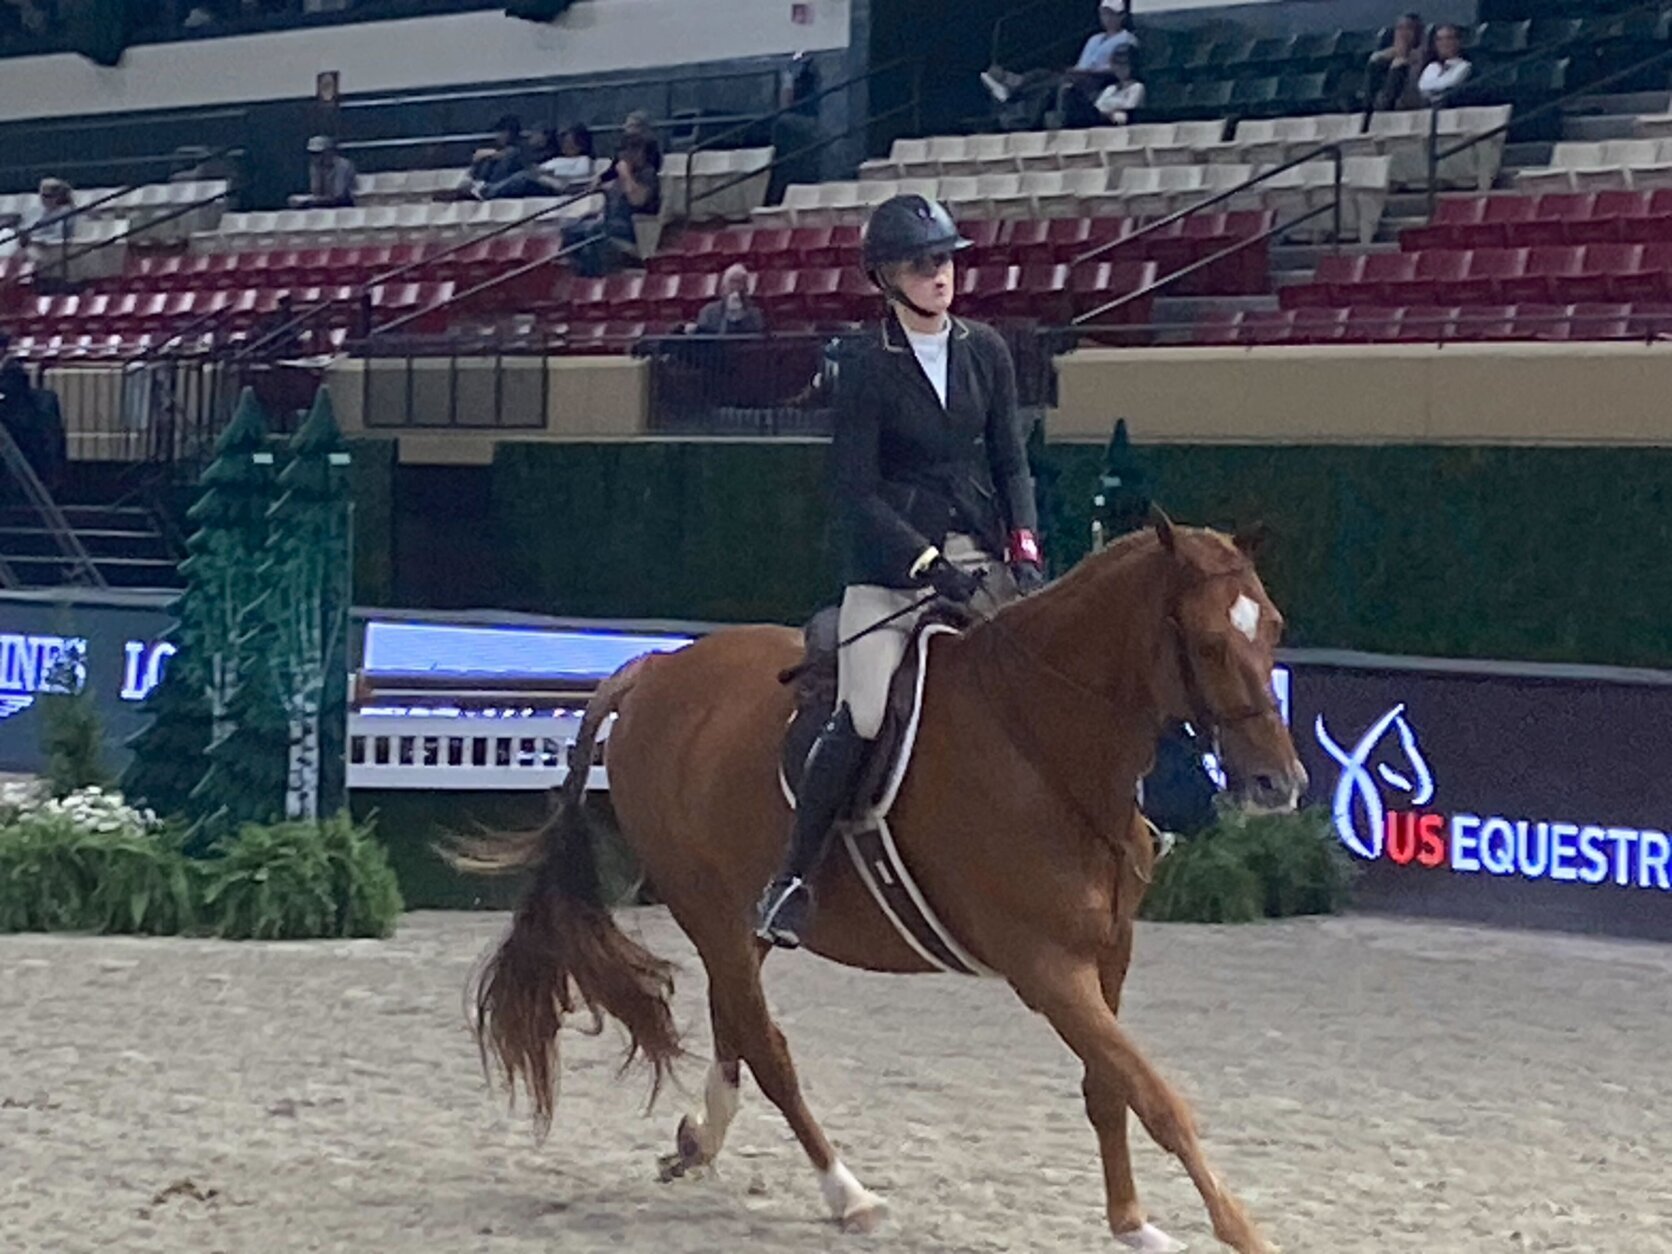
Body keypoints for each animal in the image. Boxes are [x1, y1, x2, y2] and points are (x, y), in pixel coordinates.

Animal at [455, 514, 1307, 1253]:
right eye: (1206, 641)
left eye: (1272, 629)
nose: (1279, 784)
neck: (1041, 742)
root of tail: (657, 668)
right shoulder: (1046, 967)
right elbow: (1157, 1097)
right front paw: (1243, 1234)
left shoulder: (1110, 951)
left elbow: (1110, 1088)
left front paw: (1132, 1223)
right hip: (706, 907)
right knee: (767, 1046)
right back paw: (847, 1194)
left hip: (741, 916)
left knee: (735, 1019)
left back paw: (700, 1141)